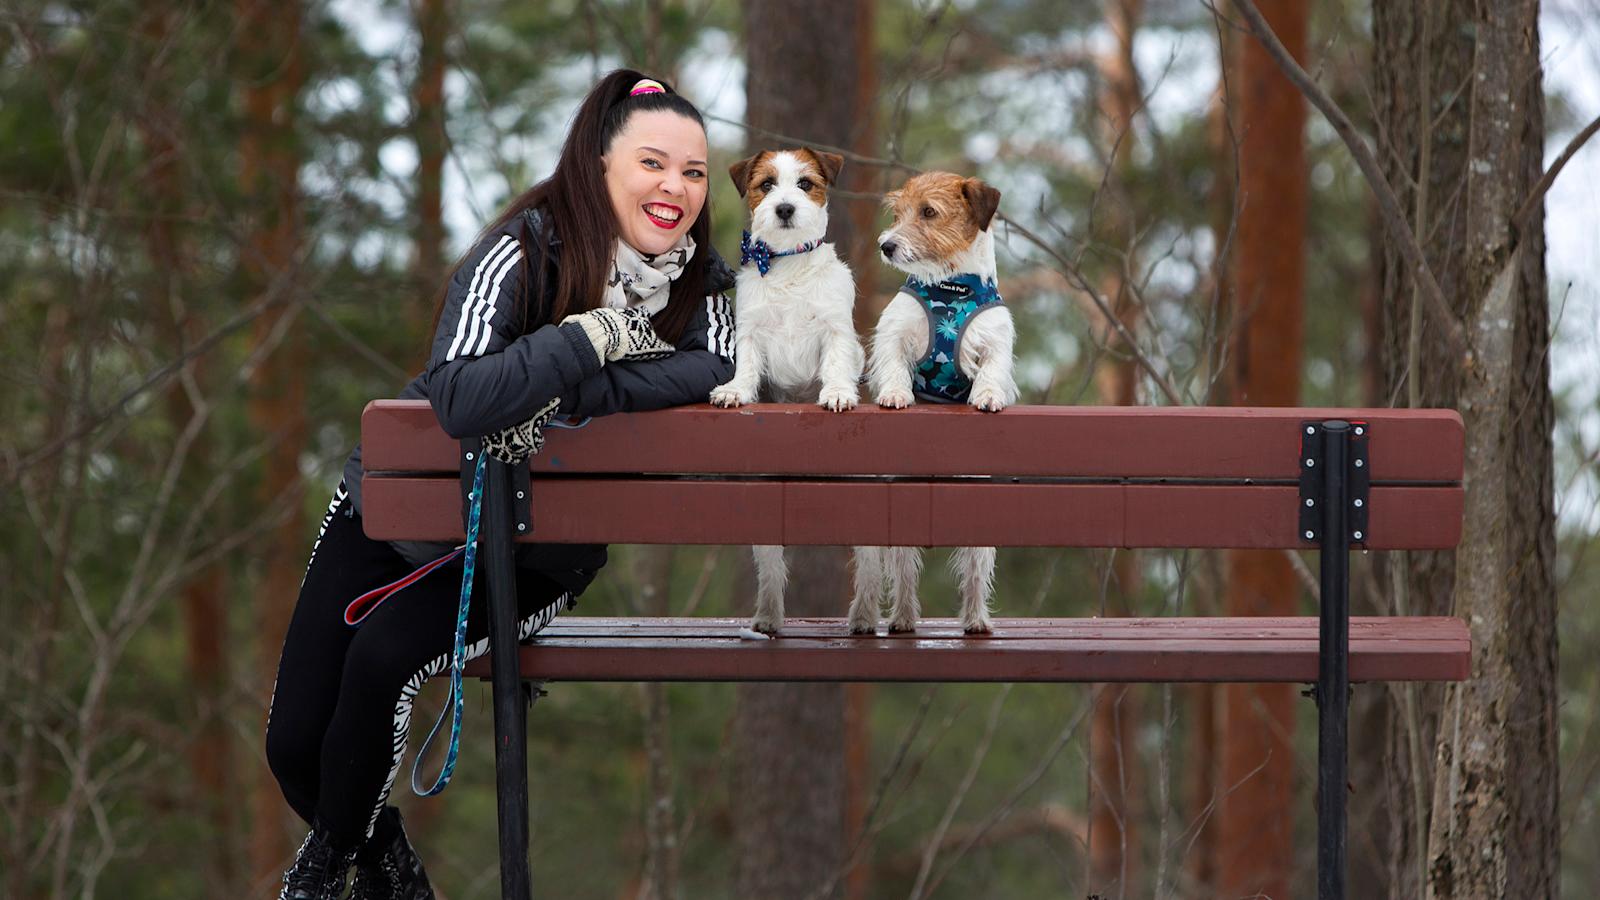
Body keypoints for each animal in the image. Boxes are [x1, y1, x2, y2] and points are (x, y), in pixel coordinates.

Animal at [713, 147, 864, 634]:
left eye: (804, 184)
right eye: (766, 184)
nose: (783, 208)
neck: (786, 264)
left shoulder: (835, 331)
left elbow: (835, 365)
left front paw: (836, 394)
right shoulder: (751, 332)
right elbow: (746, 367)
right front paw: (735, 391)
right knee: (771, 564)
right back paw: (768, 618)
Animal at [851, 168, 1011, 630]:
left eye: (928, 212)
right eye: (898, 212)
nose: (886, 245)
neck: (950, 286)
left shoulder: (996, 341)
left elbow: (992, 370)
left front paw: (988, 396)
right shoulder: (893, 335)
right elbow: (892, 365)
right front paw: (895, 394)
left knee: (974, 570)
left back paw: (975, 621)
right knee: (892, 572)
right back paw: (888, 619)